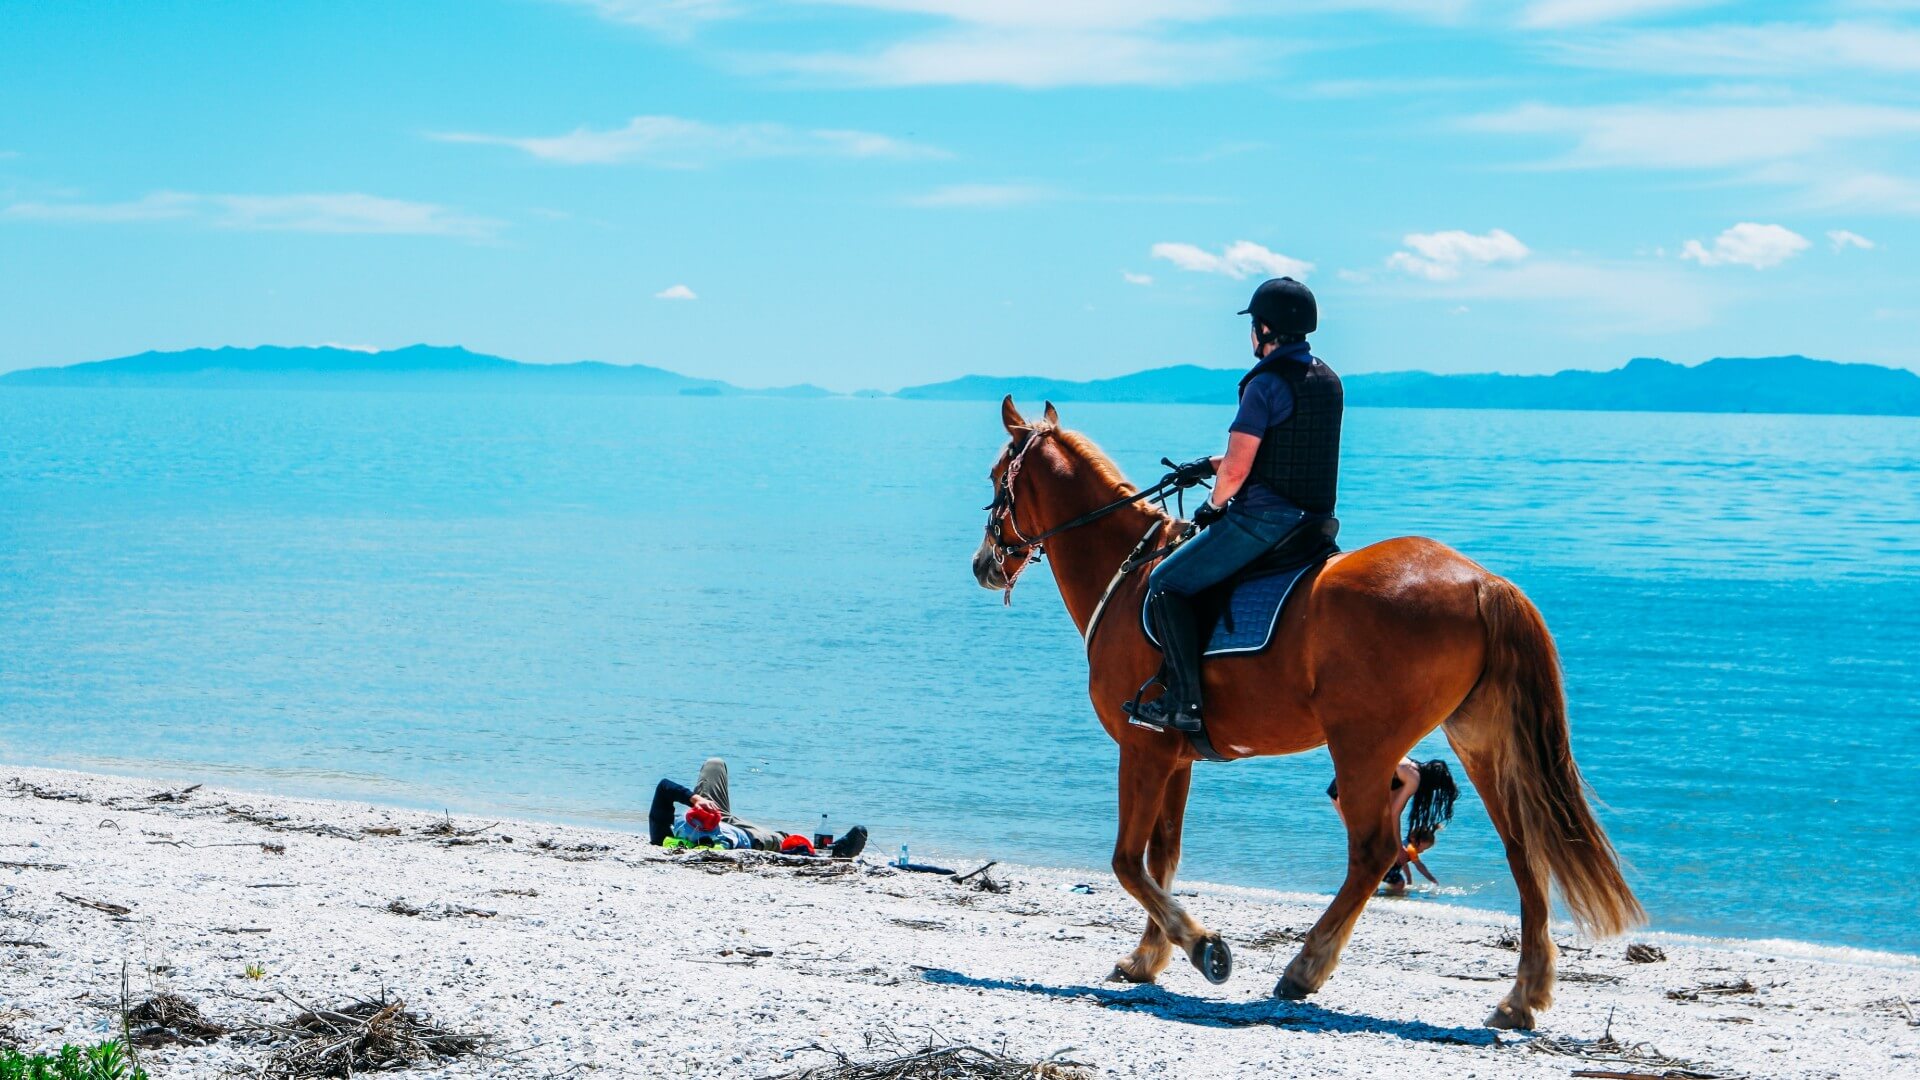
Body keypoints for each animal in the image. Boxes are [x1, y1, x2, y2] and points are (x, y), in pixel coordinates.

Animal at [967, 395, 1643, 1022]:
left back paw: (1306, 966)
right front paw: (1148, 957)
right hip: (1479, 743)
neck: (1131, 576)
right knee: (1520, 849)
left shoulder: (1143, 747)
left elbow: (1128, 862)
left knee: (1373, 851)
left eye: (997, 478)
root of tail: (1482, 583)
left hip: (1364, 746)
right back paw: (1522, 994)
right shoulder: (1175, 757)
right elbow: (1163, 857)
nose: (982, 564)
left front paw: (1203, 947)